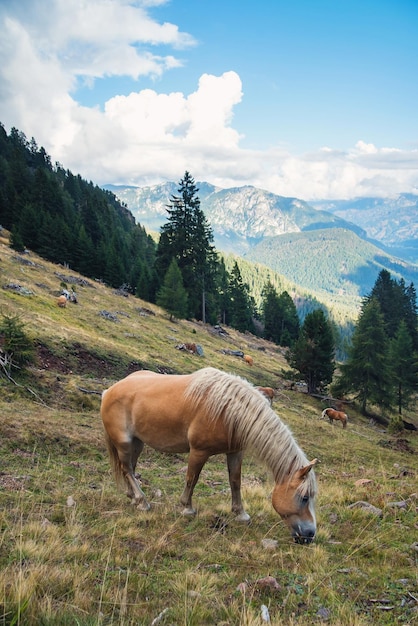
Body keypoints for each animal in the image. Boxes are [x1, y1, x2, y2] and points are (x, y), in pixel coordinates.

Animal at [100, 366, 316, 540]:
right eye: (304, 497)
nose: (310, 534)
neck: (228, 410)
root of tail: (109, 390)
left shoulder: (235, 452)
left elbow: (235, 482)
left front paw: (240, 514)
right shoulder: (199, 452)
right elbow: (192, 479)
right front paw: (187, 508)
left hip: (137, 443)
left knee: (129, 467)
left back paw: (132, 496)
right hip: (124, 443)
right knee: (127, 468)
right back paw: (142, 501)